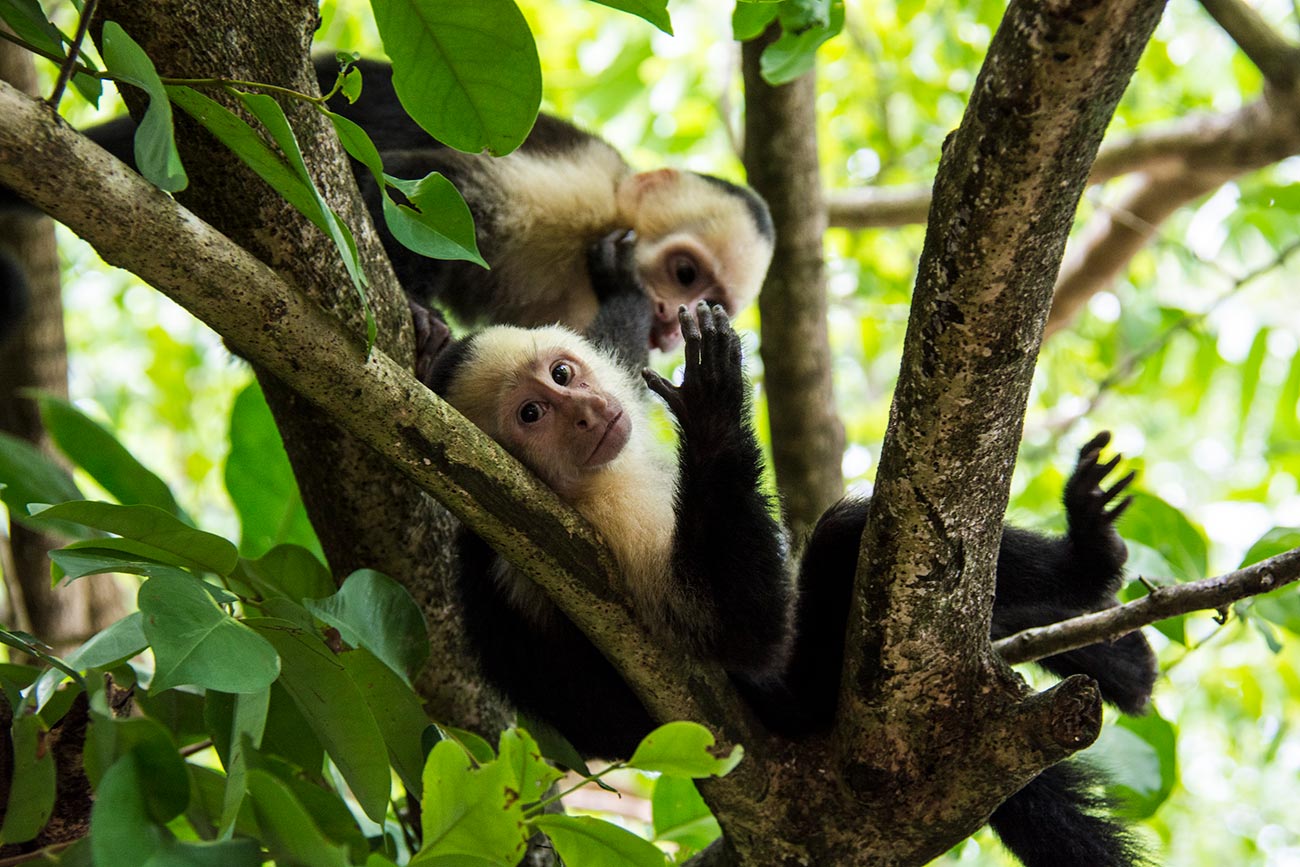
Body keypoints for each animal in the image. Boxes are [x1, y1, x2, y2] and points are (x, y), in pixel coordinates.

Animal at [413, 274, 1159, 863]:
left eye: (563, 375)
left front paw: (616, 280)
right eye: (532, 414)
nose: (586, 413)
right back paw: (1088, 576)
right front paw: (712, 412)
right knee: (842, 541)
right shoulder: (585, 523)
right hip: (815, 694)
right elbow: (743, 634)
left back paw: (1106, 628)